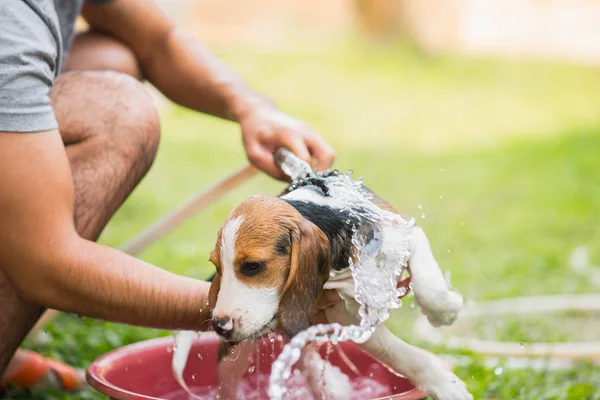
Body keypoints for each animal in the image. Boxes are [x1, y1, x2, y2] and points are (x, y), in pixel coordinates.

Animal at [209, 172, 472, 400]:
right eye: (217, 266)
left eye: (252, 266)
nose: (219, 325)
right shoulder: (345, 314)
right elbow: (398, 353)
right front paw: (444, 383)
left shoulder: (405, 233)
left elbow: (431, 290)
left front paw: (446, 312)